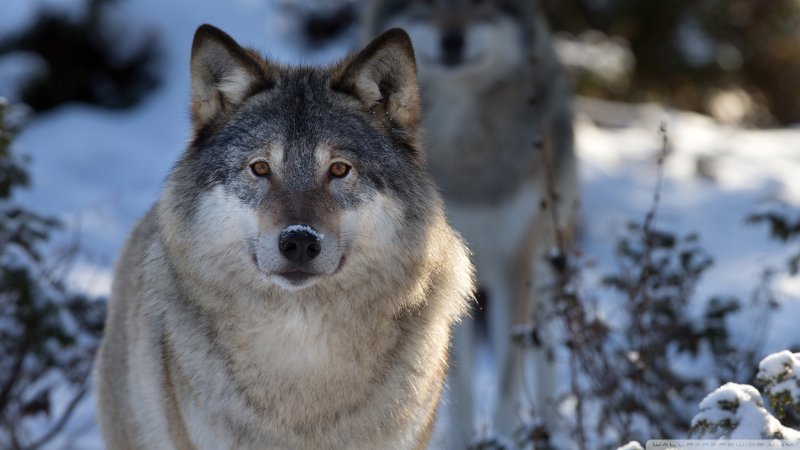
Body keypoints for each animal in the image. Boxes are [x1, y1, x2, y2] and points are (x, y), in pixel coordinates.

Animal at [362, 0, 579, 445]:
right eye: (426, 6)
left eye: (482, 6)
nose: (452, 40)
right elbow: (455, 376)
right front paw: (460, 439)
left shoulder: (517, 262)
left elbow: (509, 371)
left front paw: (504, 437)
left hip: (546, 262)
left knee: (545, 343)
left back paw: (550, 423)